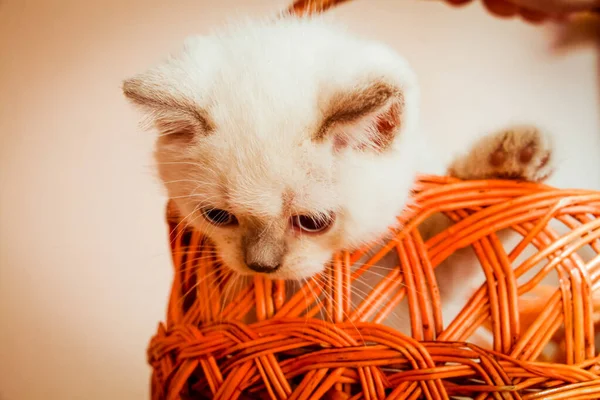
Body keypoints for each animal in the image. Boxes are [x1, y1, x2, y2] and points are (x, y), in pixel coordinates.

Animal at [122, 17, 552, 332]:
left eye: (312, 222)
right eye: (218, 217)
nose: (261, 267)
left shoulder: (434, 282)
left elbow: (462, 233)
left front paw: (511, 162)